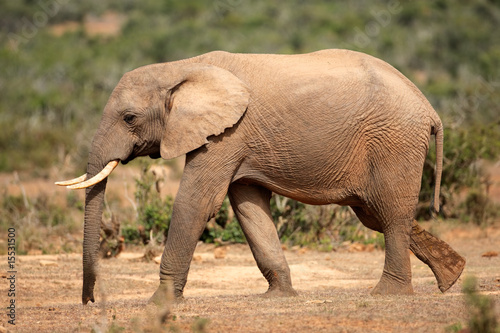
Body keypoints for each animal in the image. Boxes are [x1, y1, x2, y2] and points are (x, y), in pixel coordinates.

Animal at [56, 48, 466, 304]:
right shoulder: (237, 142)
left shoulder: (227, 135)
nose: (90, 301)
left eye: (129, 118)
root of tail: (429, 107)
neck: (184, 67)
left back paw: (388, 294)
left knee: (391, 215)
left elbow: (196, 203)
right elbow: (249, 208)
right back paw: (453, 277)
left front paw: (158, 302)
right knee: (376, 215)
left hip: (394, 142)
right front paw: (279, 297)